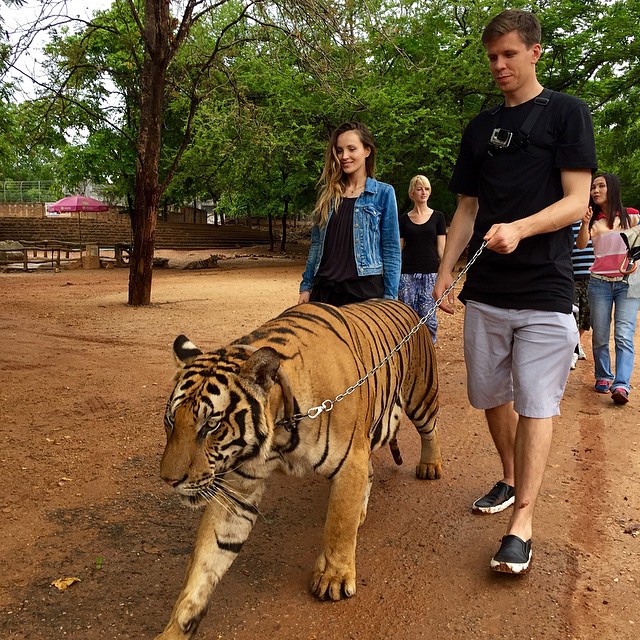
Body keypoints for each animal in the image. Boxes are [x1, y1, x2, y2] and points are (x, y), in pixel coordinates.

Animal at [158, 300, 442, 640]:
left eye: (211, 425)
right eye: (171, 420)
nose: (169, 480)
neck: (279, 429)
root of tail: (405, 304)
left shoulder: (350, 461)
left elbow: (338, 524)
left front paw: (333, 578)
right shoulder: (239, 489)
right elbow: (207, 558)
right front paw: (178, 625)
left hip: (421, 396)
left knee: (430, 430)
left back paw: (430, 465)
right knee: (371, 472)